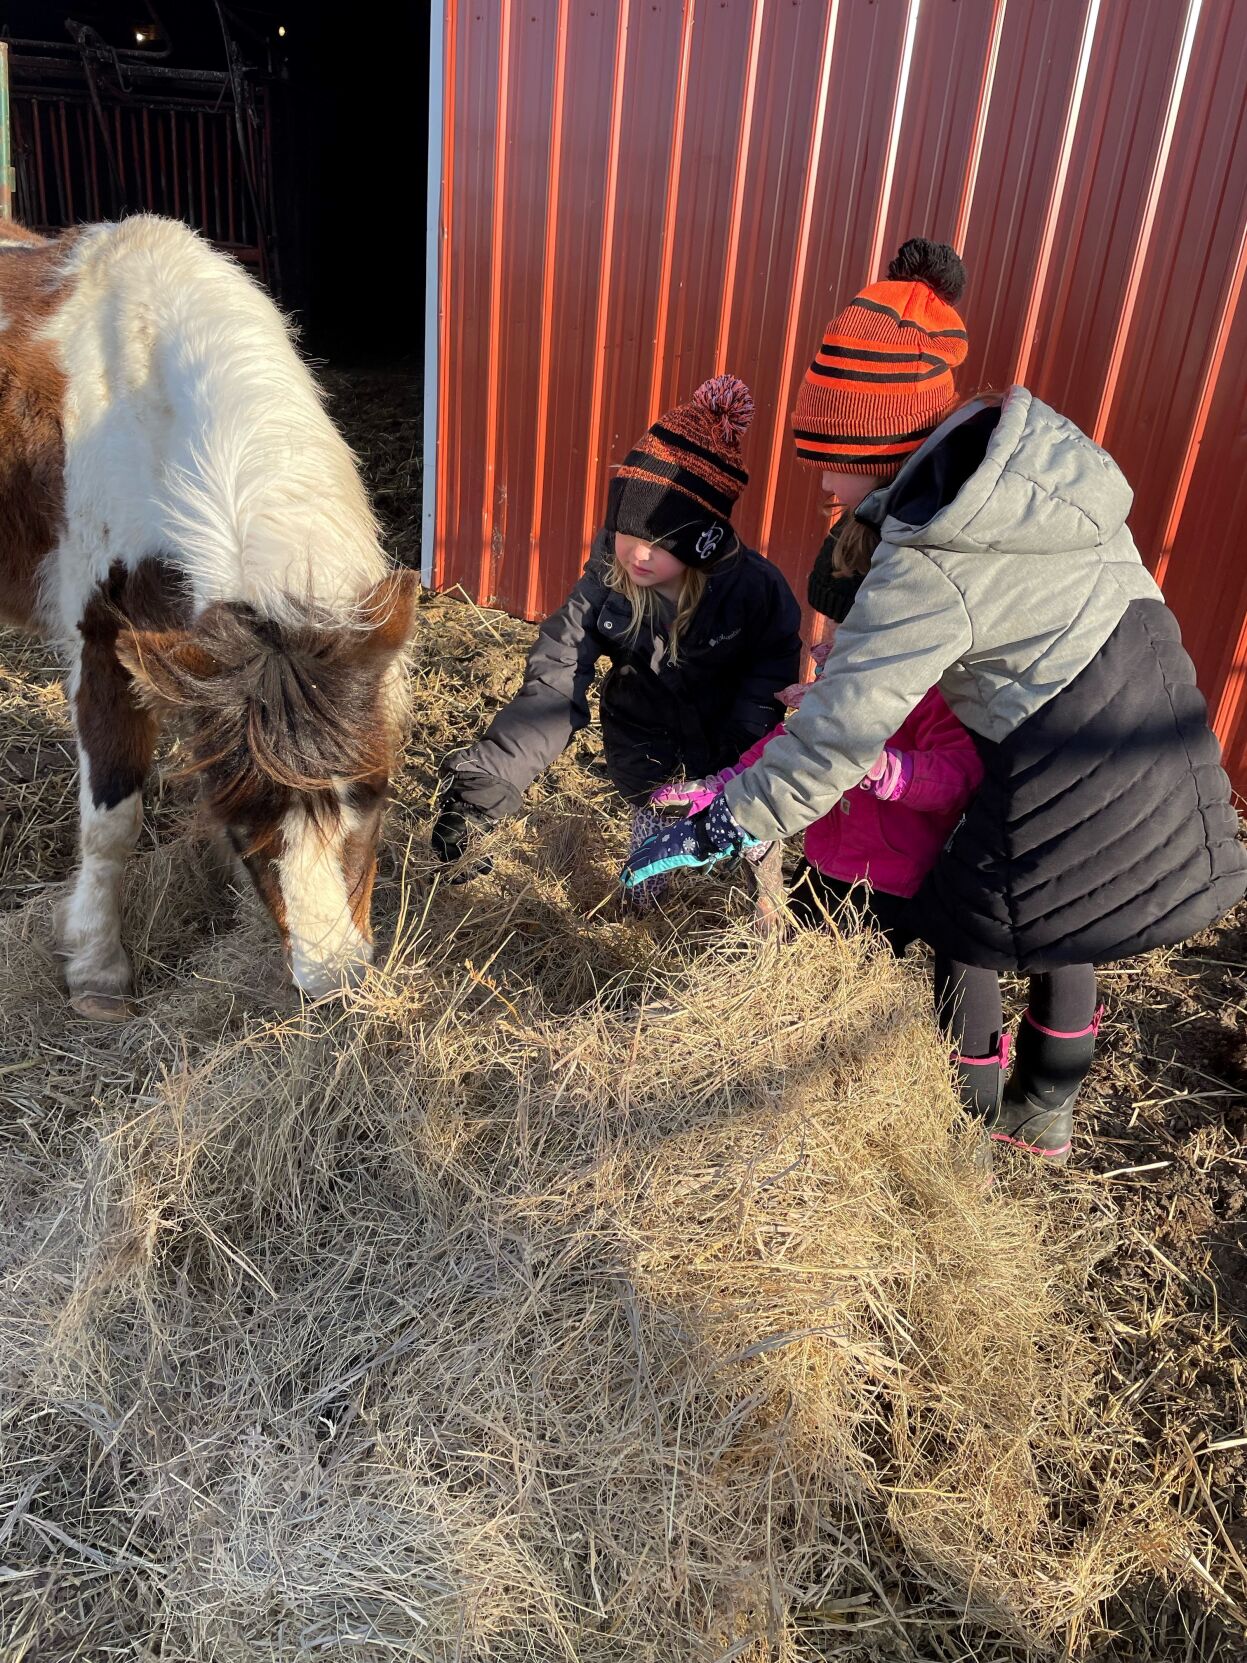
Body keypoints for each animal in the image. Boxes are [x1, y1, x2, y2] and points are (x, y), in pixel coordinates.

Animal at [0, 215, 417, 1015]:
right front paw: (96, 972)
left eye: (375, 793)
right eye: (243, 824)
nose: (332, 984)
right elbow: (112, 821)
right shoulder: (102, 642)